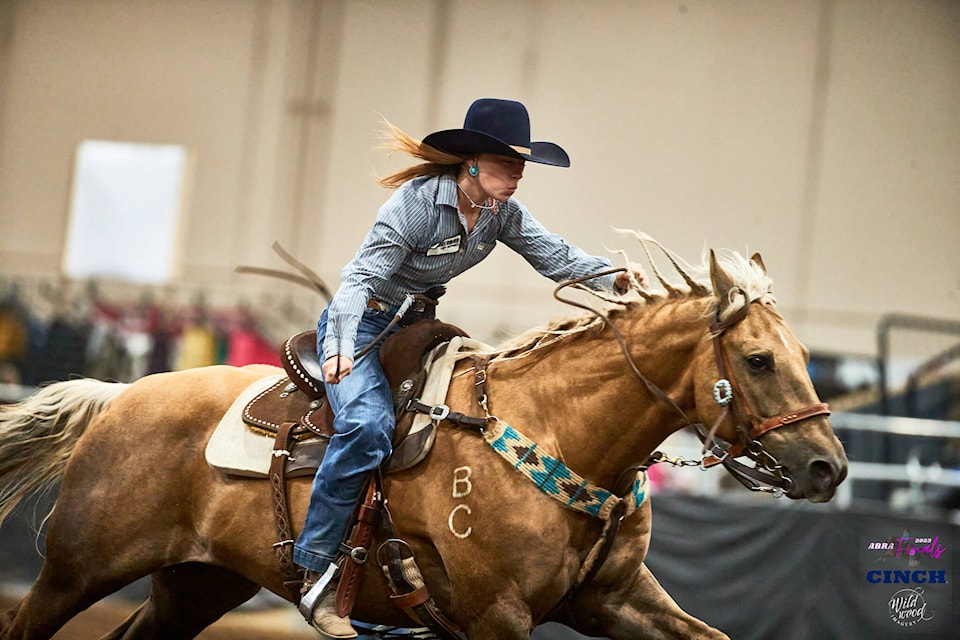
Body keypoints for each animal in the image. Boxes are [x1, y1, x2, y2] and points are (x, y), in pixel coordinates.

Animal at [0, 238, 844, 636]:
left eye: (807, 357)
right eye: (759, 360)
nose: (829, 469)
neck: (561, 432)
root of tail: (120, 398)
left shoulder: (616, 601)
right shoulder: (497, 615)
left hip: (198, 583)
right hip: (75, 571)